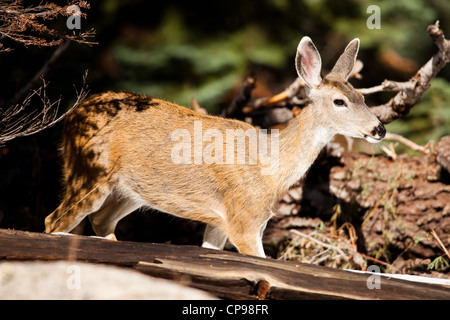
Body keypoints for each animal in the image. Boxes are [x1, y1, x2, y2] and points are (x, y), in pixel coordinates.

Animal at [44, 37, 384, 258]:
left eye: (362, 97)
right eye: (339, 101)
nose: (379, 129)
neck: (270, 169)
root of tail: (72, 116)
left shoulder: (224, 223)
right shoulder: (244, 219)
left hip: (129, 191)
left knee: (100, 221)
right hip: (88, 172)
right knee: (53, 221)